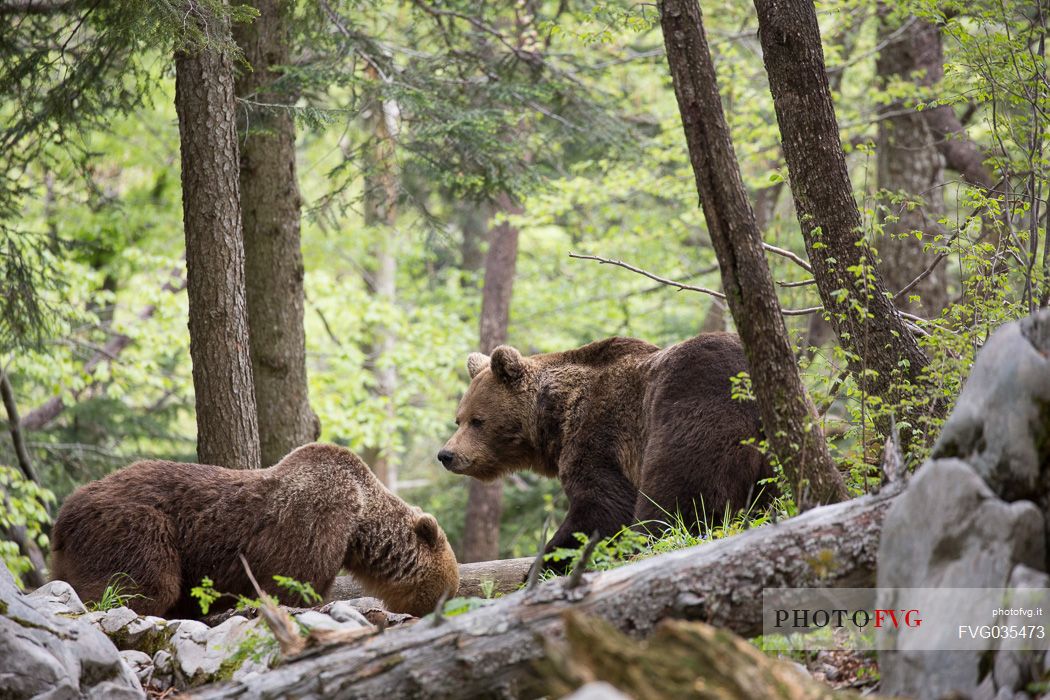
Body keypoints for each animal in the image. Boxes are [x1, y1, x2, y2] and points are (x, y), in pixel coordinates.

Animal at [50, 442, 459, 617]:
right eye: (447, 592)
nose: (433, 613)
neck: (360, 525)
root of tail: (64, 513)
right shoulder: (317, 520)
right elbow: (291, 583)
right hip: (137, 525)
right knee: (143, 583)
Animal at [438, 331, 776, 570]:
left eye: (477, 420)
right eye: (459, 418)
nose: (446, 455)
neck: (555, 417)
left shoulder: (599, 433)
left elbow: (603, 507)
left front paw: (546, 564)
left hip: (690, 407)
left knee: (676, 497)